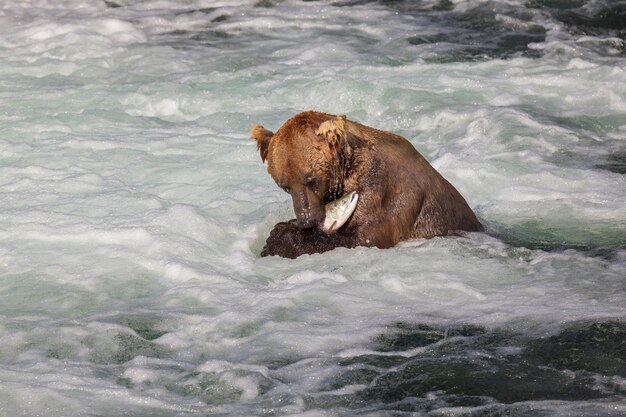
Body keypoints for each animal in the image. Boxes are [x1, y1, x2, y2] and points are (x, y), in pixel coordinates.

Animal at [250, 112, 482, 258]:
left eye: (311, 179)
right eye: (284, 186)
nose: (306, 220)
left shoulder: (384, 189)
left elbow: (366, 237)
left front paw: (280, 236)